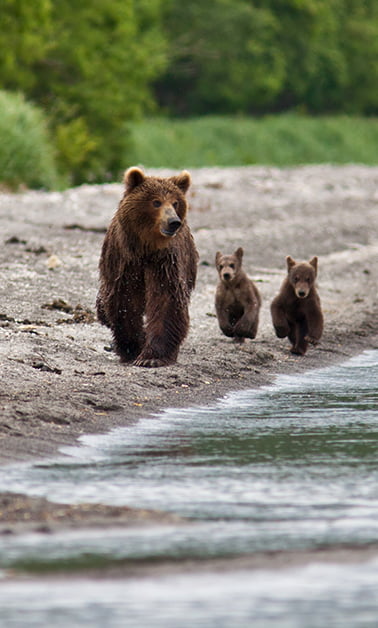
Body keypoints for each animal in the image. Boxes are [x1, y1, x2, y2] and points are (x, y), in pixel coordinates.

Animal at [96, 167, 198, 368]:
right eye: (156, 202)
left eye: (175, 203)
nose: (173, 222)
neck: (146, 248)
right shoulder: (125, 263)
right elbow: (125, 302)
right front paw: (133, 348)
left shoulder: (165, 263)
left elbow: (166, 302)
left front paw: (151, 357)